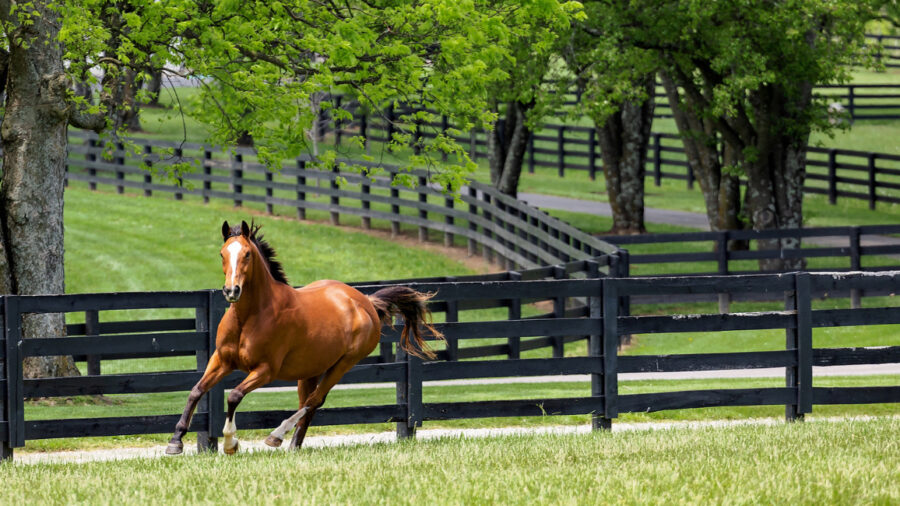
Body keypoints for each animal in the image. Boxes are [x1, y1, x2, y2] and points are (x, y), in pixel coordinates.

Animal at [166, 220, 443, 455]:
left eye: (247, 254)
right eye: (222, 254)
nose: (231, 291)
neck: (251, 315)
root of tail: (365, 302)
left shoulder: (265, 370)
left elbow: (233, 395)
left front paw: (231, 443)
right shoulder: (221, 360)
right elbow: (196, 391)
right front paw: (175, 442)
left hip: (343, 364)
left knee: (314, 400)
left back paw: (277, 436)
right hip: (310, 371)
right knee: (308, 402)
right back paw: (293, 446)